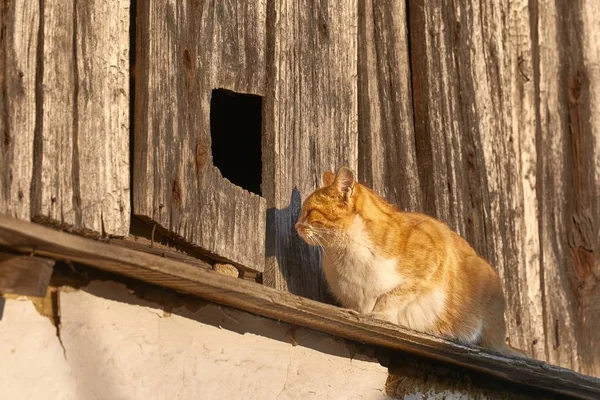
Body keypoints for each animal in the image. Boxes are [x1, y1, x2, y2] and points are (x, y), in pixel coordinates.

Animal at [296, 166, 524, 356]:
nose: (296, 225)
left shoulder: (430, 258)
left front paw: (379, 315)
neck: (346, 253)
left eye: (310, 212)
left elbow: (391, 297)